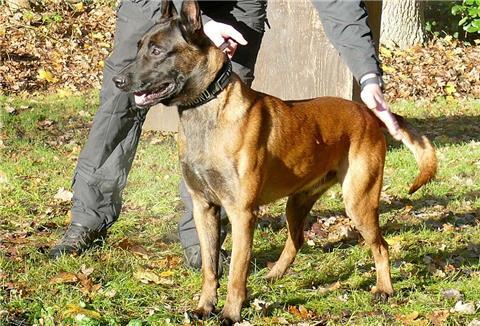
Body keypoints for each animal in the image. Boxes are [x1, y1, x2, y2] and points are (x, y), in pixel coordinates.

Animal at [114, 1, 436, 324]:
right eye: (139, 46)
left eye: (157, 51)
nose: (118, 80)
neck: (209, 108)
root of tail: (368, 113)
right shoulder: (204, 207)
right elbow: (209, 268)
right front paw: (205, 307)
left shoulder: (242, 213)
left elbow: (236, 272)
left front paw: (230, 312)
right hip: (297, 202)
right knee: (297, 240)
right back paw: (275, 274)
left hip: (359, 201)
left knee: (380, 246)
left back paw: (384, 289)